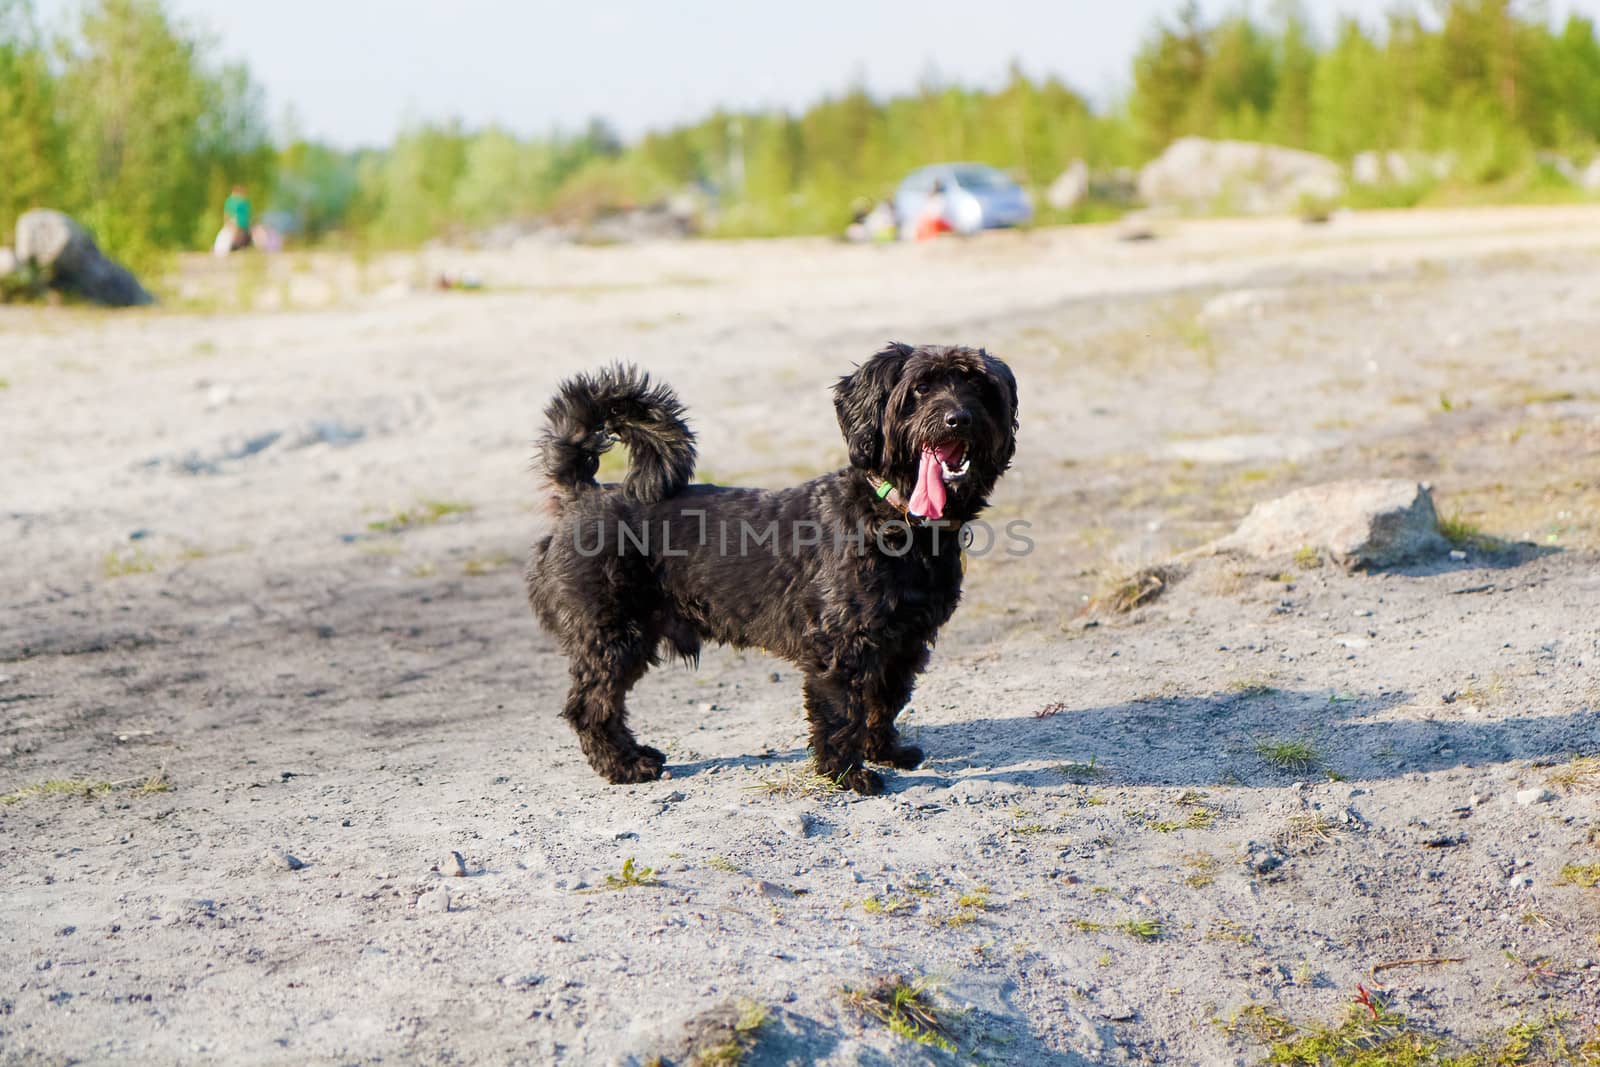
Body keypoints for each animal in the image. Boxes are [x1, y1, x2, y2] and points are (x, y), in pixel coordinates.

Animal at [531, 342, 1017, 793]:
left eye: (977, 386)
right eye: (919, 389)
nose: (959, 419)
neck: (896, 520)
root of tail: (583, 493)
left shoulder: (904, 642)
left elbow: (885, 701)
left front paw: (885, 751)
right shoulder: (841, 647)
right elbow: (841, 713)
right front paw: (845, 773)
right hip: (612, 636)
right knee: (590, 707)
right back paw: (625, 765)